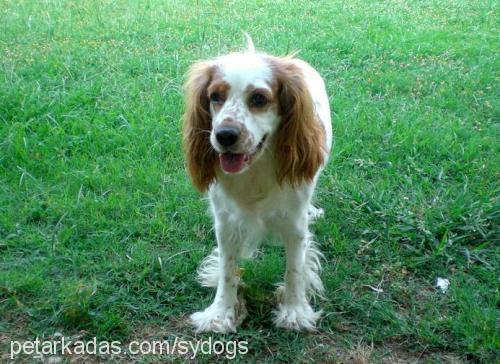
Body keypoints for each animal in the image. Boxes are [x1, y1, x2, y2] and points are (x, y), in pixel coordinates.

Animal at [182, 37, 330, 332]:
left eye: (259, 99)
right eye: (215, 96)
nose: (225, 135)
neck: (255, 169)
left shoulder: (294, 224)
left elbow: (294, 269)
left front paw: (294, 311)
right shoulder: (226, 222)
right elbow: (228, 270)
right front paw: (221, 312)